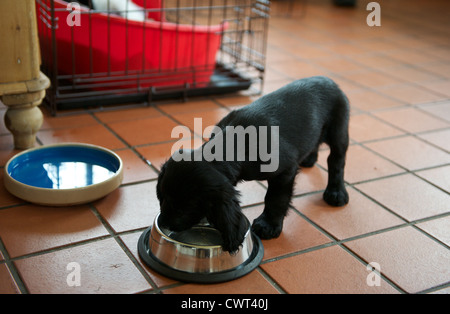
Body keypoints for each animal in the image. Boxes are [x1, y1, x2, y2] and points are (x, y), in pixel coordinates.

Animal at [156, 76, 350, 253]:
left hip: (339, 131)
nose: (164, 222)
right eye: (163, 196)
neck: (236, 143)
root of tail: (329, 80)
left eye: (186, 207)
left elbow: (275, 198)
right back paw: (309, 159)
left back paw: (336, 192)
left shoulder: (285, 172)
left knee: (336, 161)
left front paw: (268, 225)